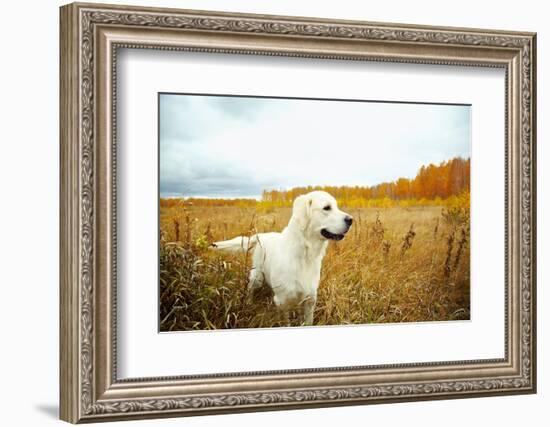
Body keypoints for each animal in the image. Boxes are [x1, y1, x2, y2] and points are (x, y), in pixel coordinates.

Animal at [211, 191, 354, 324]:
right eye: (327, 207)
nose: (351, 220)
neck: (304, 255)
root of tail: (260, 236)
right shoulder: (282, 301)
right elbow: (286, 322)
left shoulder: (310, 299)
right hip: (257, 276)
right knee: (250, 289)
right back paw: (248, 303)